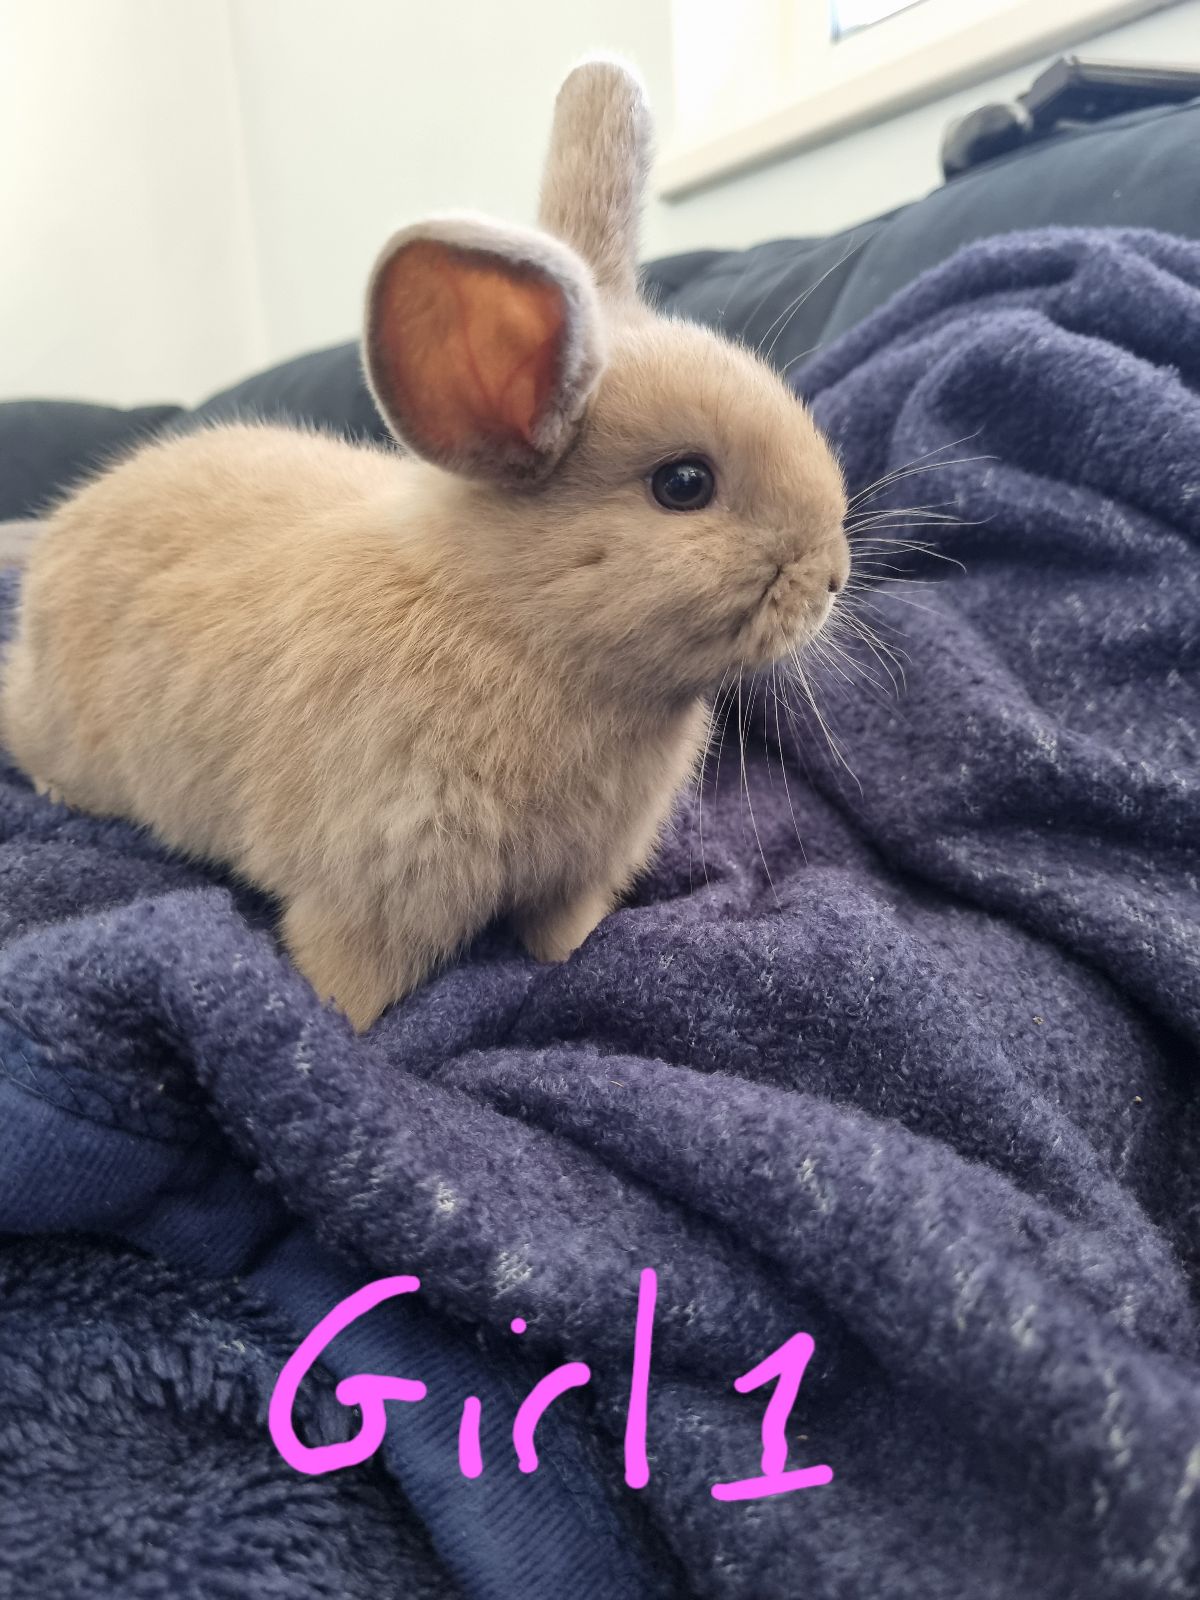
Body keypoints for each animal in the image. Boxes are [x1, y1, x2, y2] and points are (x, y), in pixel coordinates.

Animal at [0, 58, 850, 1032]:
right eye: (684, 484)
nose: (834, 574)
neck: (512, 626)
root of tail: (60, 533)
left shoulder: (574, 874)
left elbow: (563, 933)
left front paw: (569, 958)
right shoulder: (374, 889)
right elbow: (352, 978)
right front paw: (344, 1029)